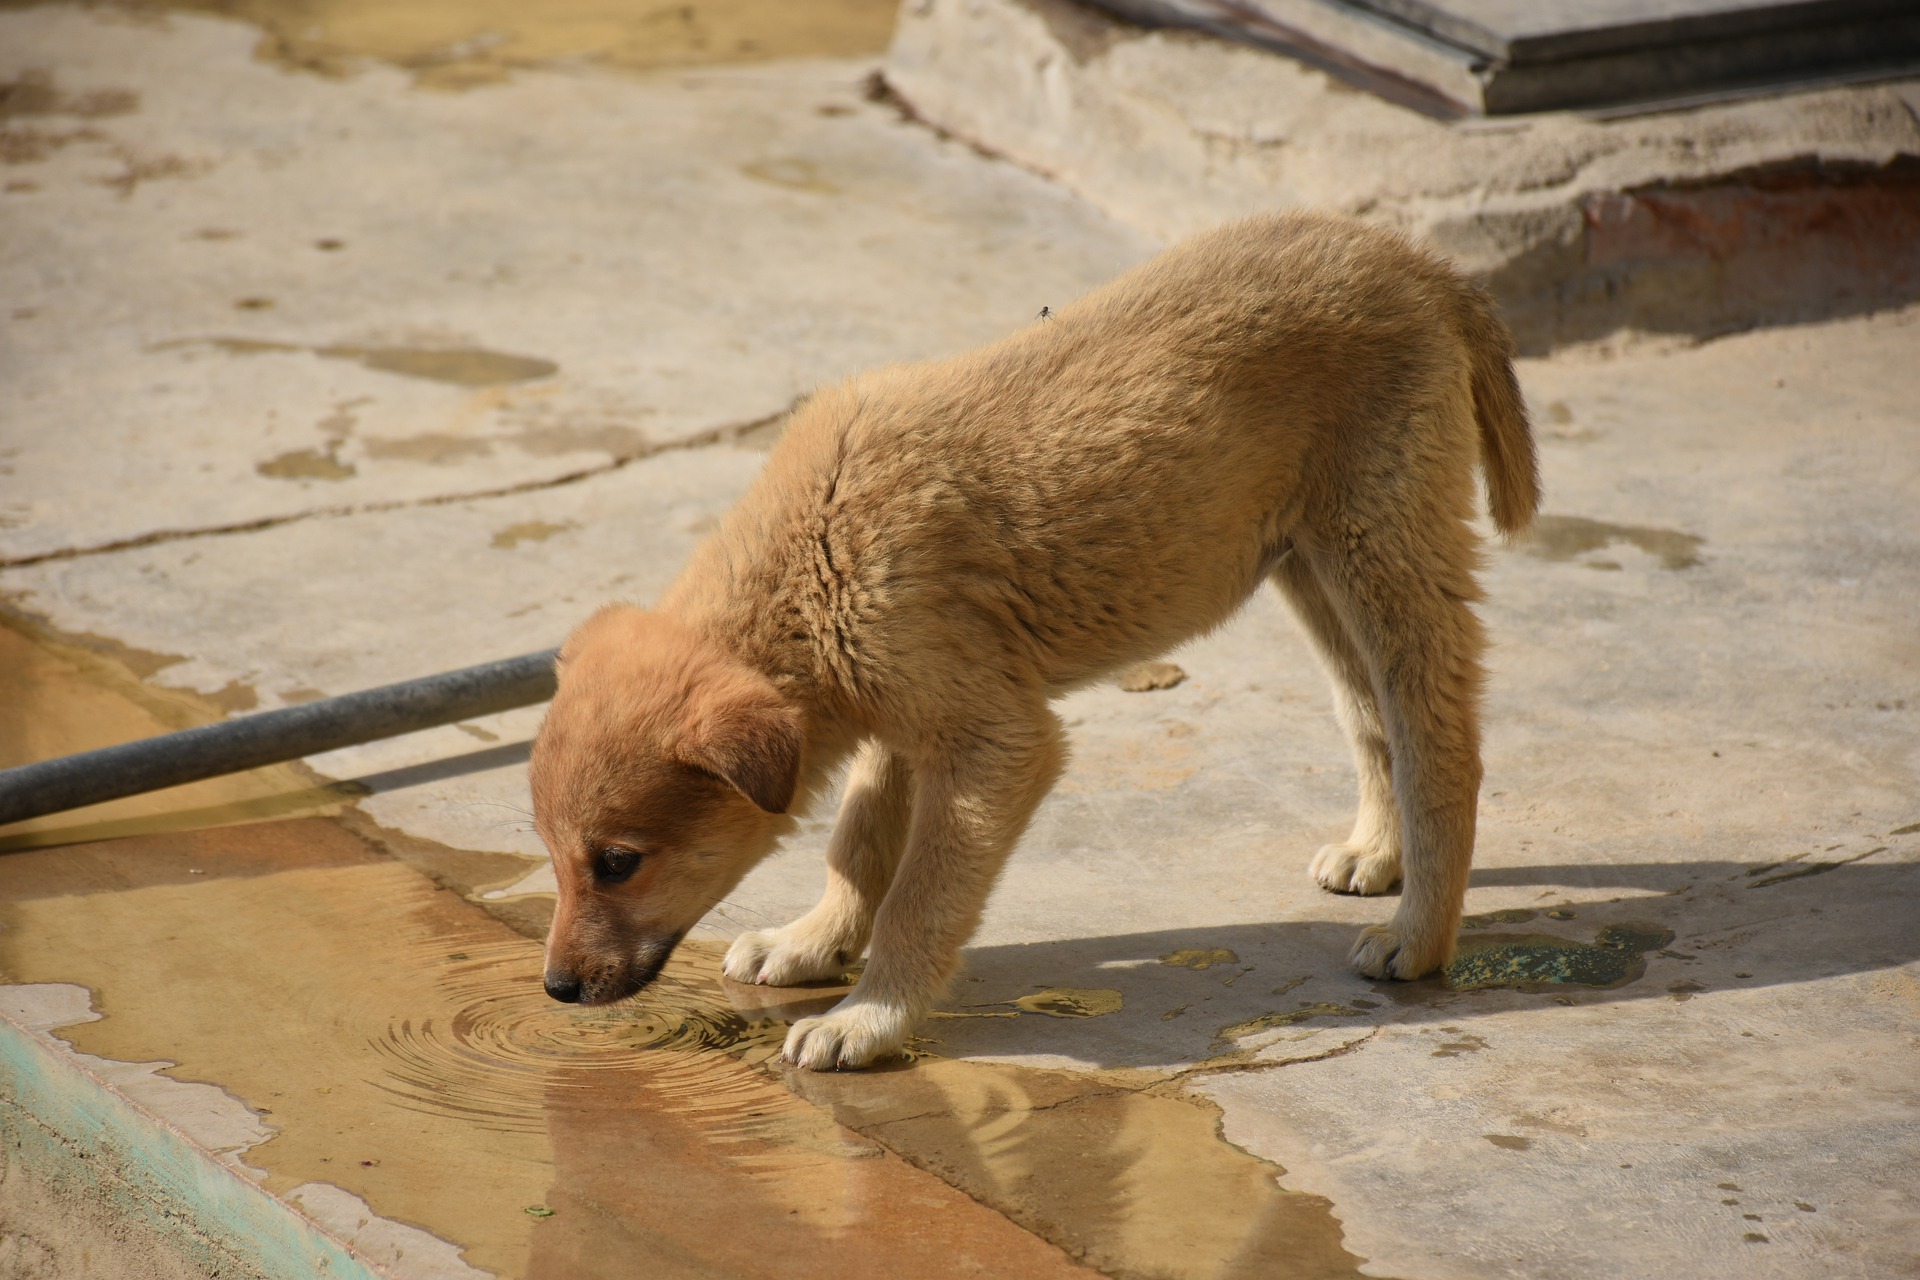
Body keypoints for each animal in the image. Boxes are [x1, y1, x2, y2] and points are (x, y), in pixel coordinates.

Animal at [529, 213, 1543, 1074]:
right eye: (553, 854)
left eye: (617, 862)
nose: (557, 989)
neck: (815, 561)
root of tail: (1412, 260)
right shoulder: (908, 716)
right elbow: (858, 843)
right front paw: (813, 942)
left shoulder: (995, 742)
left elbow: (919, 897)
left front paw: (870, 1018)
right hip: (1310, 565)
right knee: (1370, 714)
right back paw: (1377, 853)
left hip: (1383, 546)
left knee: (1438, 738)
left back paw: (1419, 937)